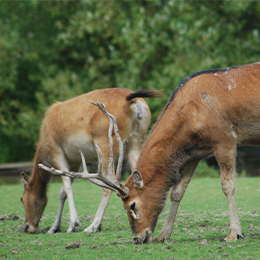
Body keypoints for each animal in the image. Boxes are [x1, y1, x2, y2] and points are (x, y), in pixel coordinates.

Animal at [19, 87, 158, 234]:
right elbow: (62, 192)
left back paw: (93, 226)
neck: (43, 146)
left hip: (106, 143)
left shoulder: (56, 151)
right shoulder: (75, 161)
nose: (27, 227)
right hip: (136, 140)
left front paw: (73, 224)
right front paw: (54, 227)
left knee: (108, 186)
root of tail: (133, 100)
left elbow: (67, 187)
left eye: (22, 199)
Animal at [38, 62, 260, 244]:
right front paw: (164, 235)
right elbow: (177, 191)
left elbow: (228, 186)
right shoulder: (196, 152)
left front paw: (234, 233)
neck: (190, 119)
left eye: (132, 205)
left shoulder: (225, 138)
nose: (138, 238)